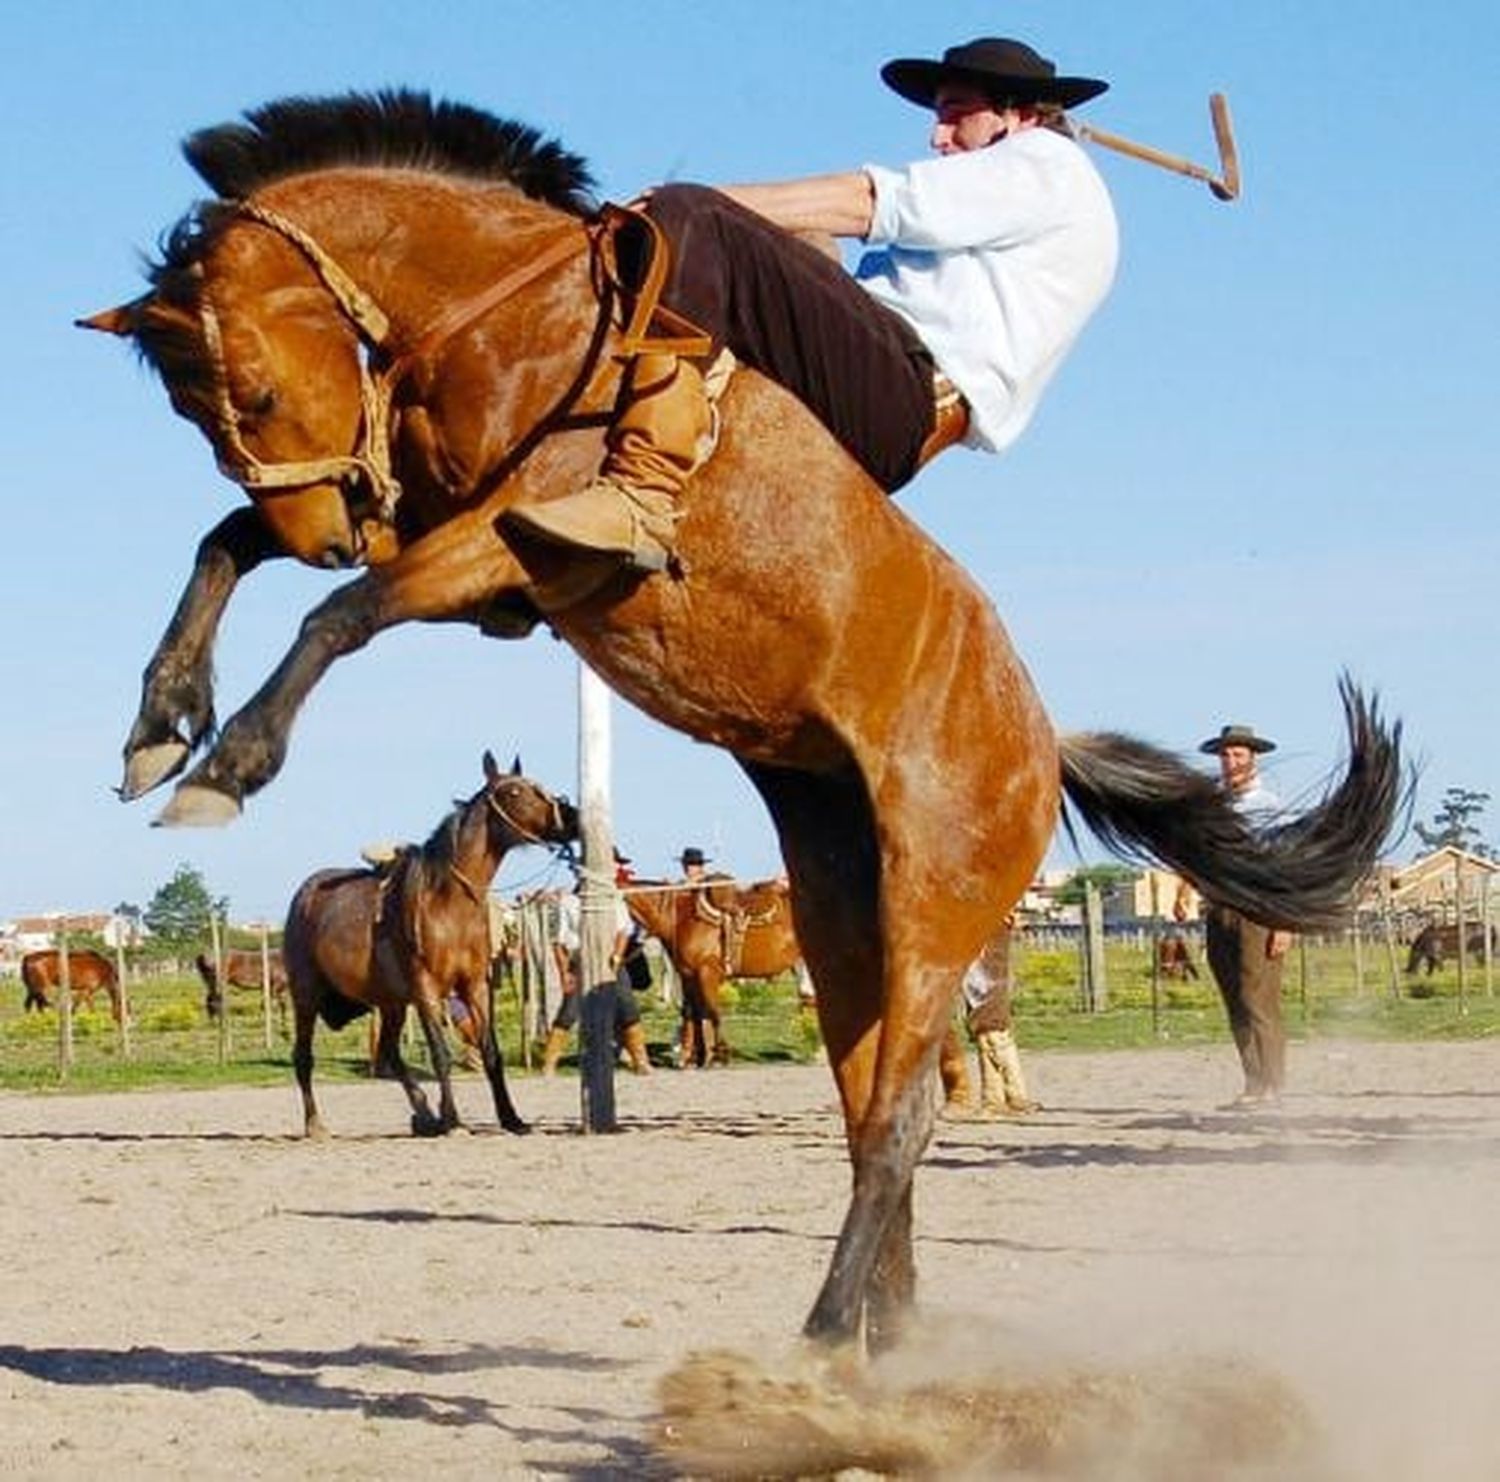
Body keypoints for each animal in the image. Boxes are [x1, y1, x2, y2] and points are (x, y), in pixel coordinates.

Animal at [282, 759, 579, 1140]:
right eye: (514, 791)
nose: (572, 817)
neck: (448, 902)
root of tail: (305, 895)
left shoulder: (475, 987)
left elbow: (491, 1053)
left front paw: (511, 1118)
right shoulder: (426, 990)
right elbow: (440, 1054)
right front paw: (453, 1120)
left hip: (391, 1003)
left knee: (390, 1052)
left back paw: (423, 1113)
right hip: (306, 995)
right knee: (303, 1057)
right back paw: (316, 1124)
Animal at [627, 870, 804, 1068]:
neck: (681, 917)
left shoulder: (707, 973)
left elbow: (713, 1012)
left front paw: (718, 1055)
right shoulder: (689, 975)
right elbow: (694, 1014)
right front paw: (696, 1057)